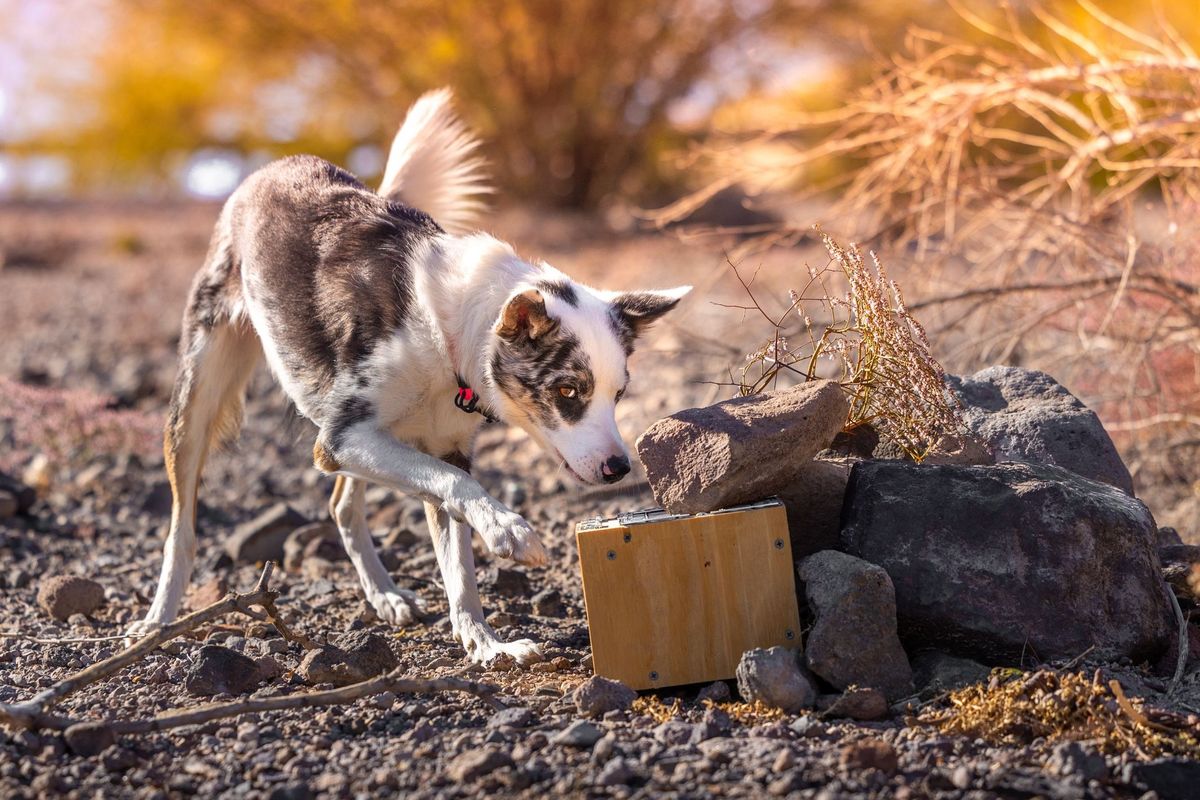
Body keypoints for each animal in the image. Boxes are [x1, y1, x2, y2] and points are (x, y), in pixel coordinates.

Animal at [126, 89, 691, 662]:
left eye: (618, 395)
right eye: (567, 390)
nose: (619, 468)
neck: (447, 331)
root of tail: (274, 167)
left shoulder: (431, 446)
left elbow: (457, 556)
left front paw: (485, 643)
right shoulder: (343, 439)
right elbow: (459, 487)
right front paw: (510, 531)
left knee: (341, 507)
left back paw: (386, 596)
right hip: (198, 402)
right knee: (182, 529)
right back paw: (157, 621)